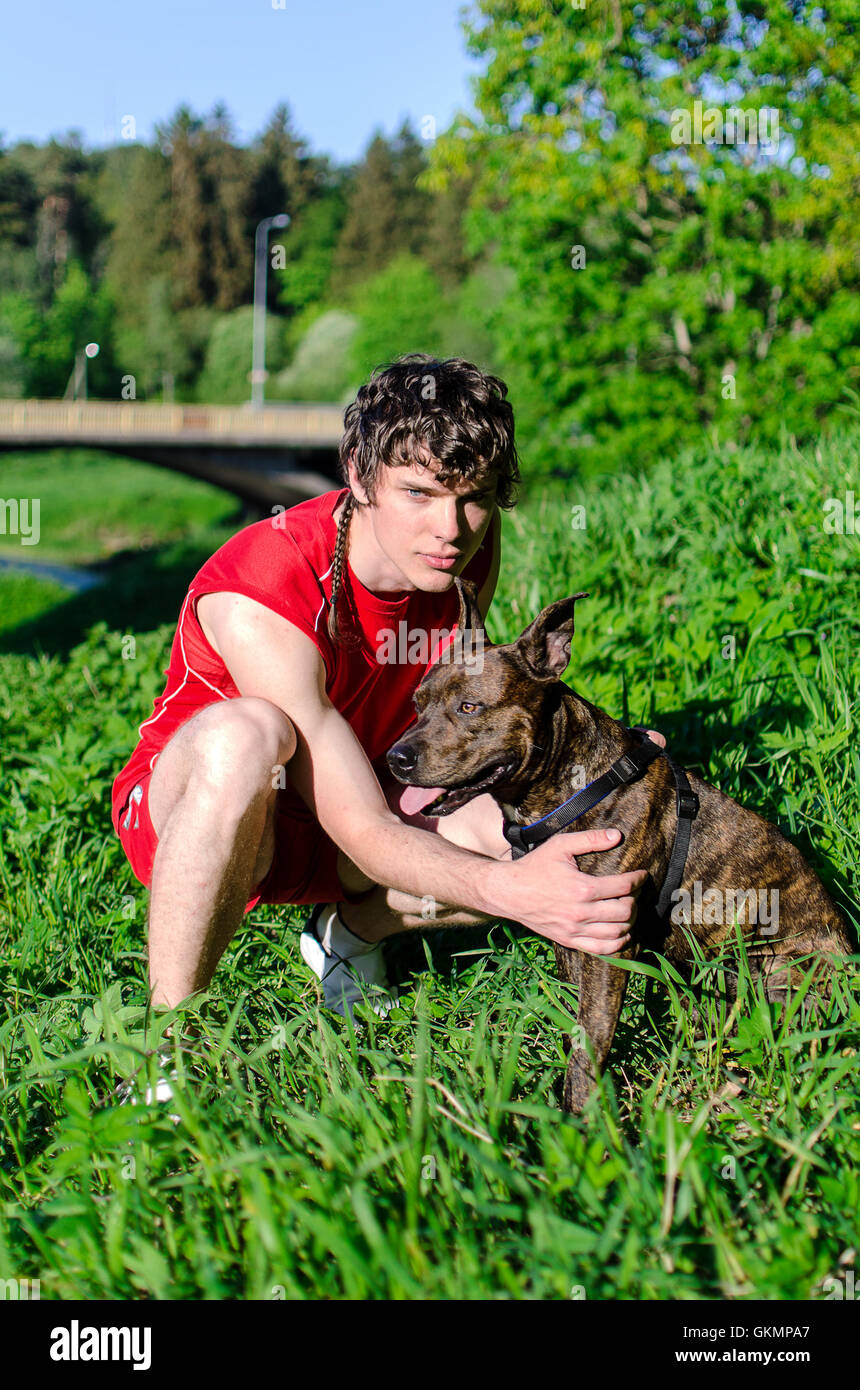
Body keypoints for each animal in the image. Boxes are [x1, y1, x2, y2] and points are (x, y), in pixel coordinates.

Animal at [386, 581, 855, 1112]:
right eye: (417, 704)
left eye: (469, 707)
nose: (396, 758)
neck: (573, 787)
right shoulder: (572, 925)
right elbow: (577, 1017)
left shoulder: (609, 940)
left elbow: (590, 1037)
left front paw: (582, 1117)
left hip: (782, 971)